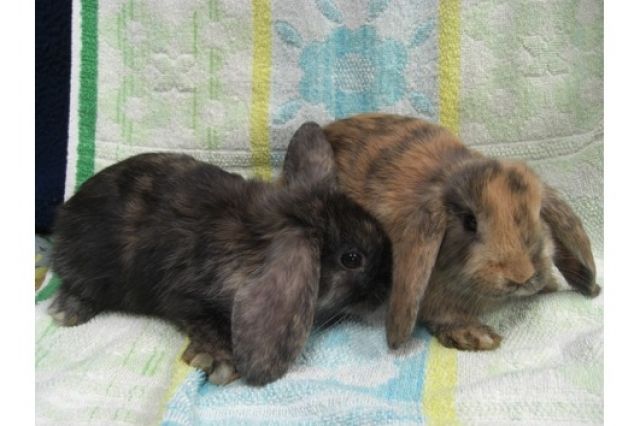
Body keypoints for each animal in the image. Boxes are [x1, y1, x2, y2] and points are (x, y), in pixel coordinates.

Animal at [48, 122, 391, 386]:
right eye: (351, 259)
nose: (386, 290)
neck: (258, 238)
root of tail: (65, 213)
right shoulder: (186, 296)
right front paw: (220, 362)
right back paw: (68, 310)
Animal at [296, 113, 600, 351]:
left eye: (537, 215)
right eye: (469, 222)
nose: (520, 275)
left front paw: (550, 285)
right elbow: (444, 317)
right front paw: (476, 336)